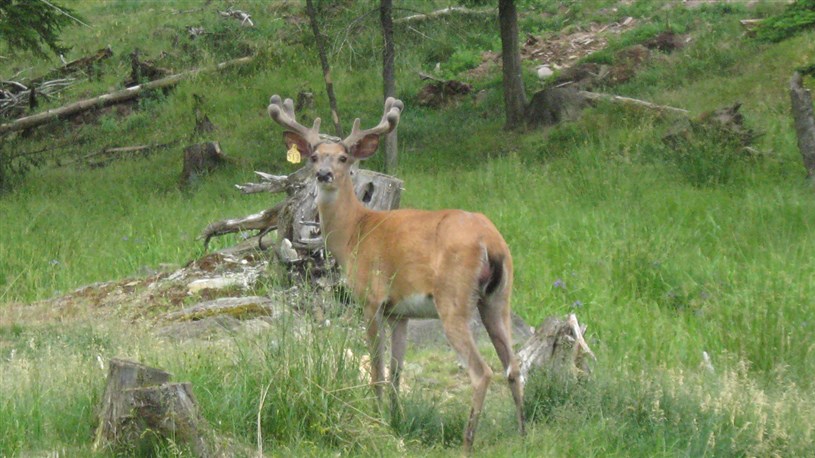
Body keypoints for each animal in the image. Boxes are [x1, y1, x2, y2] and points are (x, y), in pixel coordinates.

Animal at [264, 95, 524, 452]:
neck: (354, 233)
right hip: (499, 298)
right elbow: (397, 371)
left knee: (482, 371)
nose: (324, 174)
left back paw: (467, 442)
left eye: (344, 157)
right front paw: (396, 419)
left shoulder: (371, 298)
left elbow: (377, 368)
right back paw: (525, 433)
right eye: (314, 156)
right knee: (514, 365)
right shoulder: (401, 312)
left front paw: (376, 420)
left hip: (453, 298)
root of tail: (491, 241)